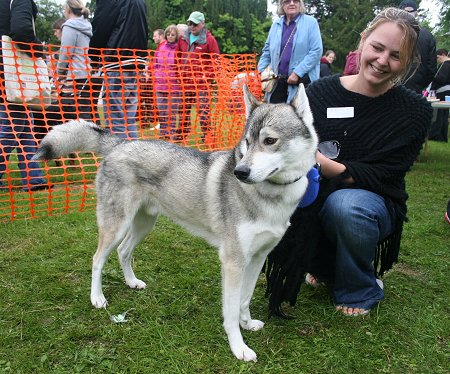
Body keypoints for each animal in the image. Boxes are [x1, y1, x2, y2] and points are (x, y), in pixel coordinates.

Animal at [34, 85, 316, 362]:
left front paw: (247, 324)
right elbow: (231, 312)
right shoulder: (233, 261)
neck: (273, 196)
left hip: (144, 224)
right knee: (97, 259)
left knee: (123, 251)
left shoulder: (257, 258)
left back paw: (132, 282)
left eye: (269, 141)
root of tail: (120, 143)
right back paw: (97, 298)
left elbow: (244, 301)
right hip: (117, 226)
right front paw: (239, 348)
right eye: (247, 142)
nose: (240, 172)